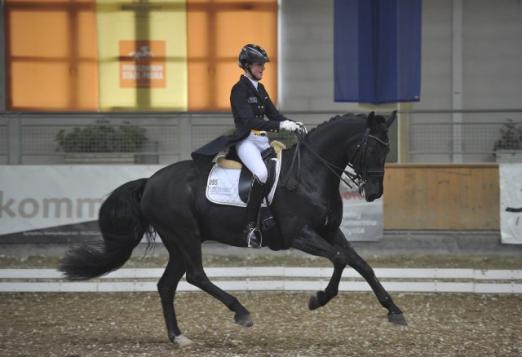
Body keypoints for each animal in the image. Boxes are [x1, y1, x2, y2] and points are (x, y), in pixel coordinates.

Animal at [59, 110, 404, 344]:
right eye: (371, 148)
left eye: (387, 149)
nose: (374, 193)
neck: (310, 173)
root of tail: (151, 181)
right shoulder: (300, 235)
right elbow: (341, 260)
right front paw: (317, 299)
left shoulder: (331, 232)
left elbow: (362, 264)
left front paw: (394, 311)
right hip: (185, 235)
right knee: (195, 276)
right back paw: (241, 312)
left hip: (178, 241)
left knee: (167, 285)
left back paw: (178, 336)